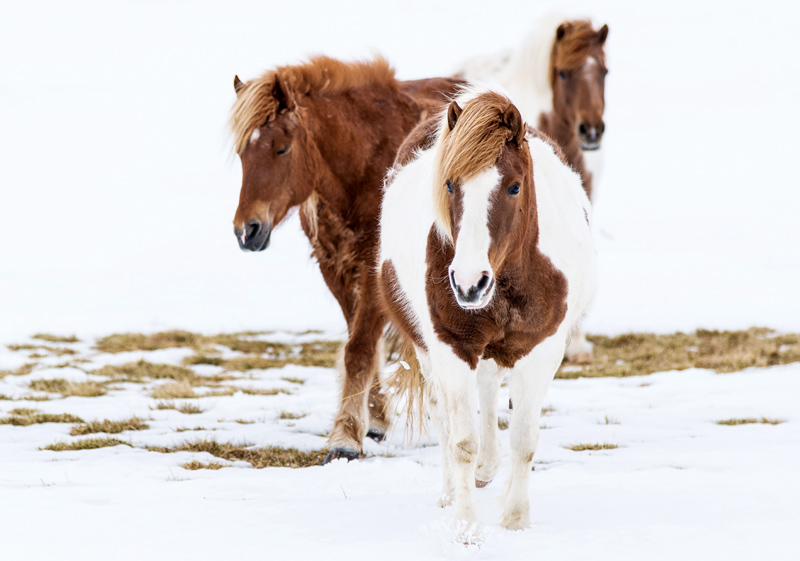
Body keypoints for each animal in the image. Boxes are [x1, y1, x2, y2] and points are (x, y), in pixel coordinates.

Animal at [228, 55, 462, 464]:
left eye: (282, 148)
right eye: (243, 152)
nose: (247, 231)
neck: (363, 163)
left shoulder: (373, 270)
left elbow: (359, 348)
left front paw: (344, 441)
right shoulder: (334, 268)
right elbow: (364, 343)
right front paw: (373, 421)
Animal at [378, 88, 596, 544]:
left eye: (514, 186)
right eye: (449, 184)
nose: (468, 283)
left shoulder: (542, 352)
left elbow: (524, 439)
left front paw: (515, 519)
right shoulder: (451, 348)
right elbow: (460, 440)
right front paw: (466, 527)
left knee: (492, 389)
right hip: (429, 352)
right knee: (444, 416)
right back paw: (454, 489)